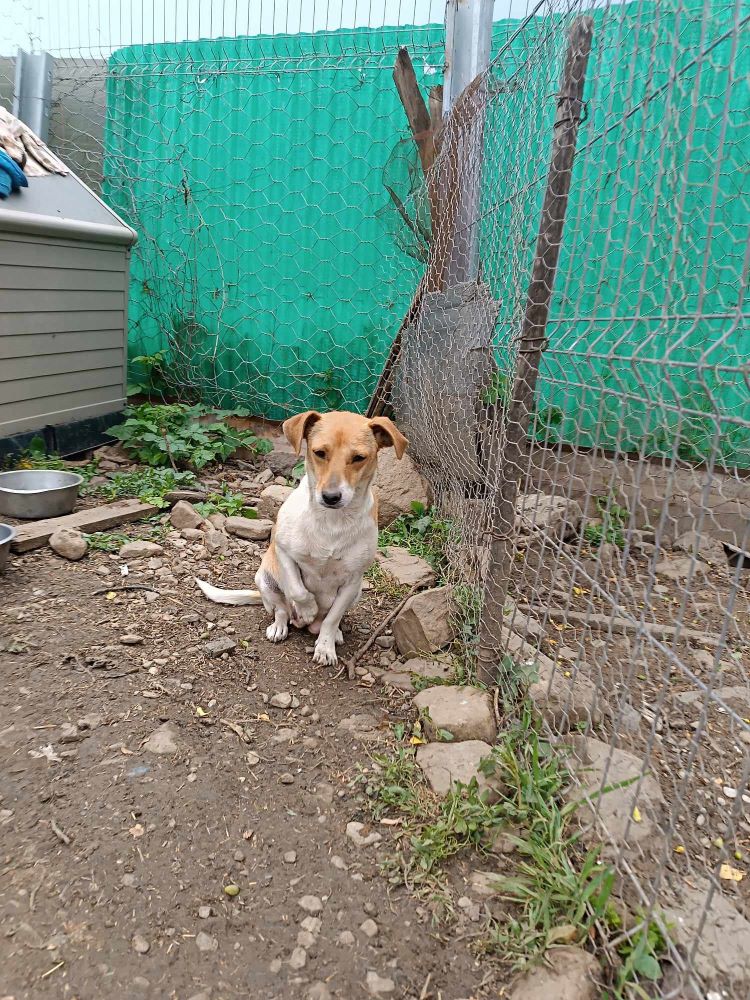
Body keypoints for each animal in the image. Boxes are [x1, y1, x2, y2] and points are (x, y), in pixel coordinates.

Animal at [194, 410, 406, 668]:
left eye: (359, 457)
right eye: (319, 452)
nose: (331, 497)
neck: (331, 521)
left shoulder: (353, 580)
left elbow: (332, 617)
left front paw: (325, 646)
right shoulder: (284, 553)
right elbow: (298, 590)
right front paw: (307, 609)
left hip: (356, 594)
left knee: (329, 619)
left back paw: (331, 633)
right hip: (265, 580)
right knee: (281, 610)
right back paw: (283, 625)